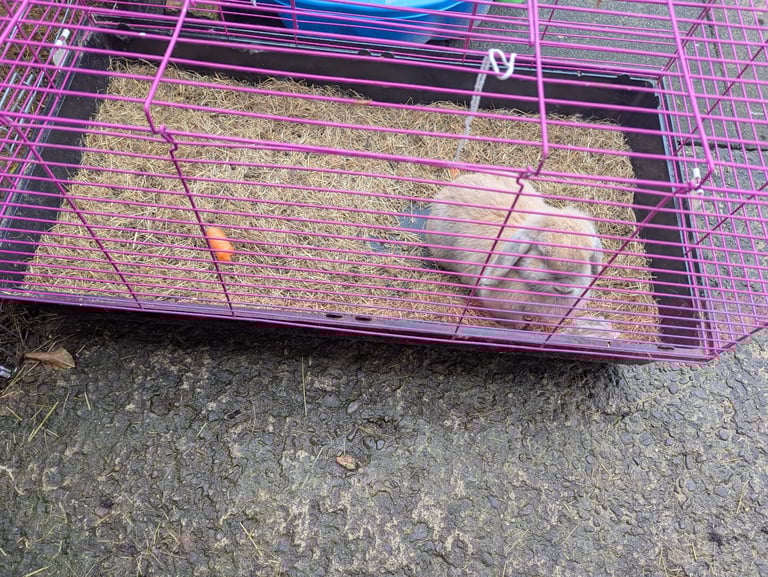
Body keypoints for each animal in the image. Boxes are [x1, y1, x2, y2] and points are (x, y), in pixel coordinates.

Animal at [425, 172, 605, 332]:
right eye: (542, 254)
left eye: (587, 259)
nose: (565, 288)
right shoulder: (503, 307)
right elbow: (515, 320)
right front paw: (523, 326)